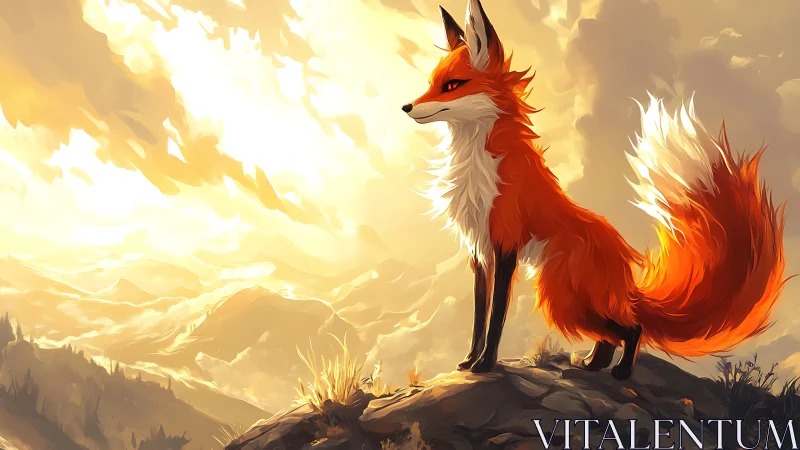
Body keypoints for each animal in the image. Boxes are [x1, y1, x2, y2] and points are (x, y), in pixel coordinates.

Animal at [402, 0, 788, 379]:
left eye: (453, 85)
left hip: (562, 297)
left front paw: (485, 365)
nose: (405, 107)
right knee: (613, 334)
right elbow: (479, 316)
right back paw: (593, 364)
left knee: (632, 328)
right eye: (432, 83)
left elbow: (496, 316)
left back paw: (620, 372)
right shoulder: (479, 251)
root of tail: (624, 263)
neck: (475, 165)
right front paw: (469, 361)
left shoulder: (505, 243)